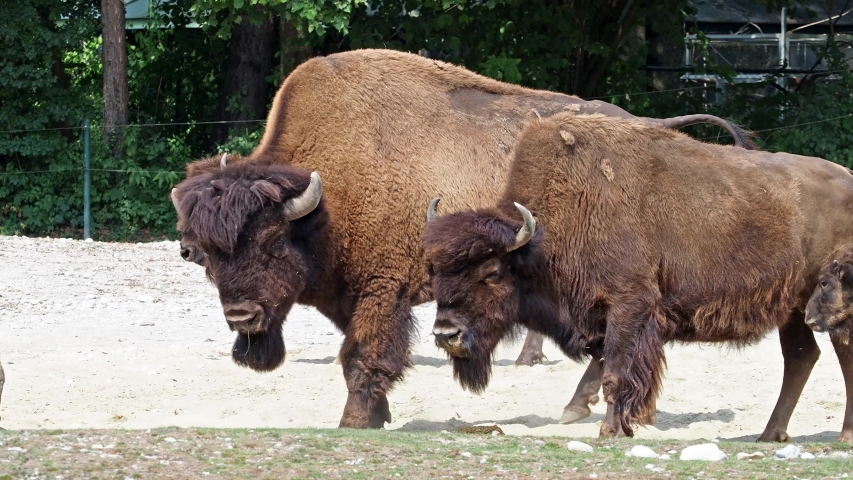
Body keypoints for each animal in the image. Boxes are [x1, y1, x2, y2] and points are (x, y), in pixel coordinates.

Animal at [173, 49, 756, 428]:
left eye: (272, 241)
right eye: (213, 255)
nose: (240, 317)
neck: (325, 201)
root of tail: (648, 126)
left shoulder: (382, 288)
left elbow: (361, 355)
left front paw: (355, 422)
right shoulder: (348, 293)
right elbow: (354, 353)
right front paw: (377, 415)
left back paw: (576, 407)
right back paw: (575, 407)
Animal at [423, 111, 853, 442]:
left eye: (492, 272)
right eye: (435, 269)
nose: (446, 334)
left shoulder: (629, 305)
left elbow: (616, 372)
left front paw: (610, 431)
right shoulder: (600, 321)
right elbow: (611, 369)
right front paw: (621, 425)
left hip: (832, 306)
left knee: (839, 356)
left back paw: (842, 436)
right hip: (794, 309)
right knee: (800, 357)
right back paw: (769, 434)